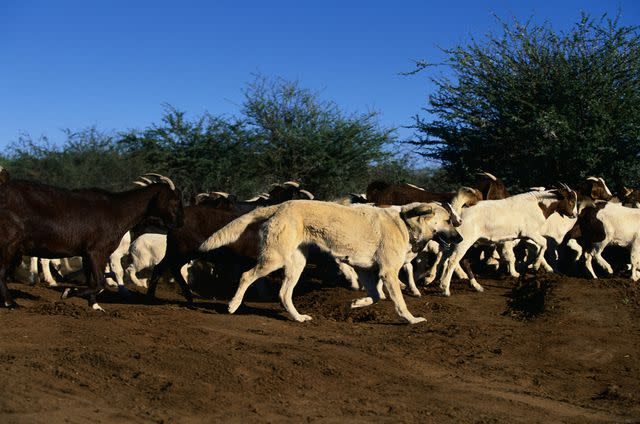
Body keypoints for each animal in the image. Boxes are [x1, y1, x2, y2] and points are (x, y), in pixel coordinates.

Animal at [199, 200, 460, 322]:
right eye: (448, 220)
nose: (460, 238)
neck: (405, 223)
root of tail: (280, 206)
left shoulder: (366, 271)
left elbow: (377, 296)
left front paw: (356, 304)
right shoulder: (387, 273)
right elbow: (399, 303)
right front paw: (411, 320)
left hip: (296, 265)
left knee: (284, 294)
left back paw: (298, 317)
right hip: (274, 260)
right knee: (246, 276)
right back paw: (233, 305)